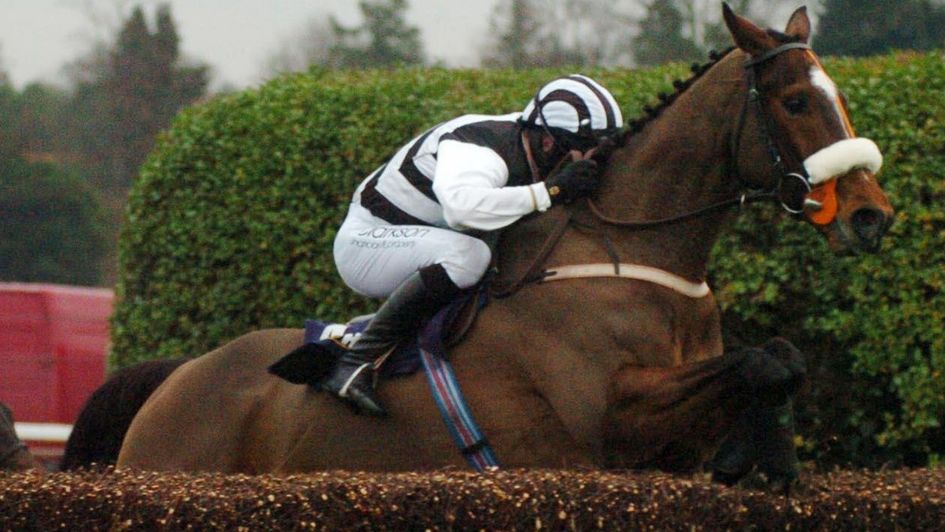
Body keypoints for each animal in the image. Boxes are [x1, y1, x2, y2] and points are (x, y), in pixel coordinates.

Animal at [118, 5, 892, 478]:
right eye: (796, 100)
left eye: (840, 96)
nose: (870, 216)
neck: (626, 257)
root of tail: (179, 377)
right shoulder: (612, 417)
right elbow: (757, 361)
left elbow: (777, 359)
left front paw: (764, 460)